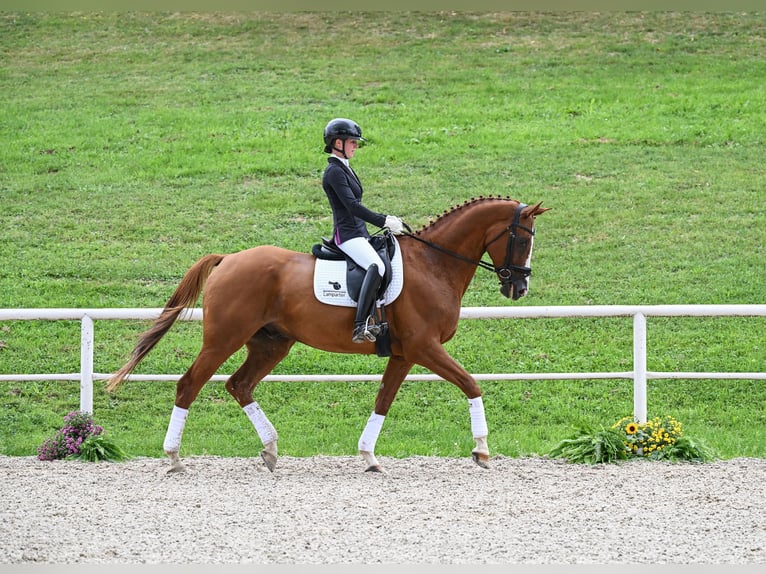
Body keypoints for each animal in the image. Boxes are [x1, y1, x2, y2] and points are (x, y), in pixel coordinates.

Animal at [108, 196, 552, 474]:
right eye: (522, 238)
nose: (519, 288)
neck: (434, 264)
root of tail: (228, 259)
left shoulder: (404, 354)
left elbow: (383, 401)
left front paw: (369, 457)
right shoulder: (424, 347)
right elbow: (472, 384)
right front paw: (481, 450)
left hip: (271, 344)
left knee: (239, 385)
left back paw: (270, 450)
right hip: (223, 340)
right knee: (189, 385)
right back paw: (173, 458)